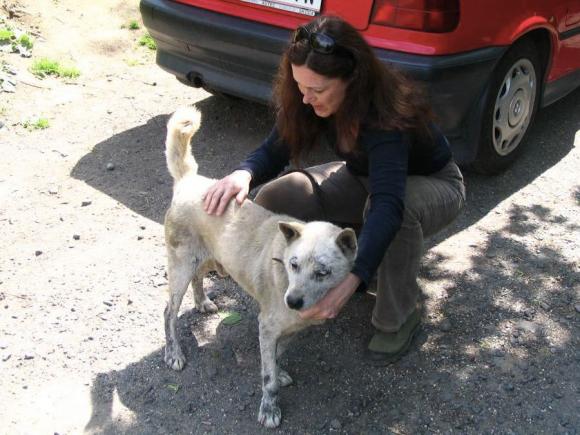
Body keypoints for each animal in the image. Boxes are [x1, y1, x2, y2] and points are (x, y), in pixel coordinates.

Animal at [161, 107, 356, 428]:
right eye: (293, 264)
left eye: (322, 272)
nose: (292, 301)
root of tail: (188, 181)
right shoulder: (266, 326)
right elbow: (268, 378)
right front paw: (269, 409)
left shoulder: (285, 330)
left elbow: (277, 357)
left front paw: (281, 370)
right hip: (180, 266)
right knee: (169, 313)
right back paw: (173, 353)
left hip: (206, 257)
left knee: (198, 279)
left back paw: (202, 302)